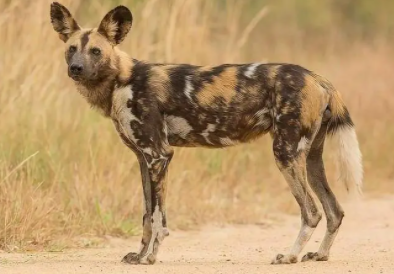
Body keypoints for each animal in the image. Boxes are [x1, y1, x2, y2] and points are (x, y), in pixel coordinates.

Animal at [50, 2, 364, 266]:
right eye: (71, 49)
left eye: (96, 51)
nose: (76, 68)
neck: (121, 81)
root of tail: (318, 78)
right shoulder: (143, 159)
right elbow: (147, 215)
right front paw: (138, 255)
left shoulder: (159, 156)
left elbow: (158, 218)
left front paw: (150, 257)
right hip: (310, 159)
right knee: (334, 211)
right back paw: (320, 254)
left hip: (285, 155)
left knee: (311, 211)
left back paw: (289, 256)